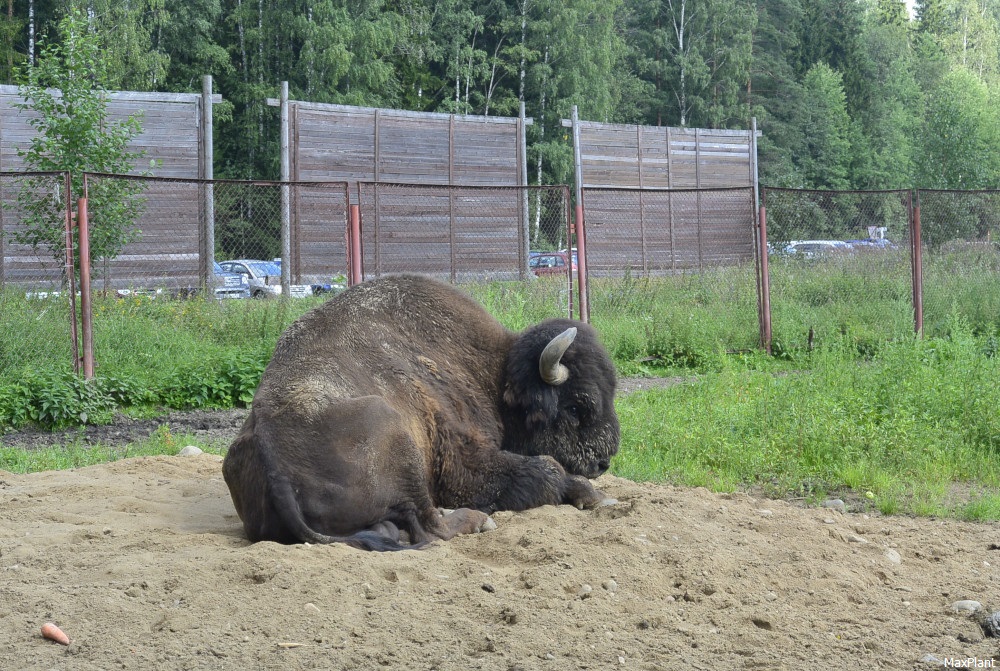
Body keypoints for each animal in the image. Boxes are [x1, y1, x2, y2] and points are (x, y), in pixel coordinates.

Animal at [223, 272, 620, 552]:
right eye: (576, 407)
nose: (603, 461)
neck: (497, 371)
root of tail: (271, 448)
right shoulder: (464, 461)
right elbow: (547, 470)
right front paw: (598, 497)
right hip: (397, 436)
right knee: (432, 528)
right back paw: (478, 520)